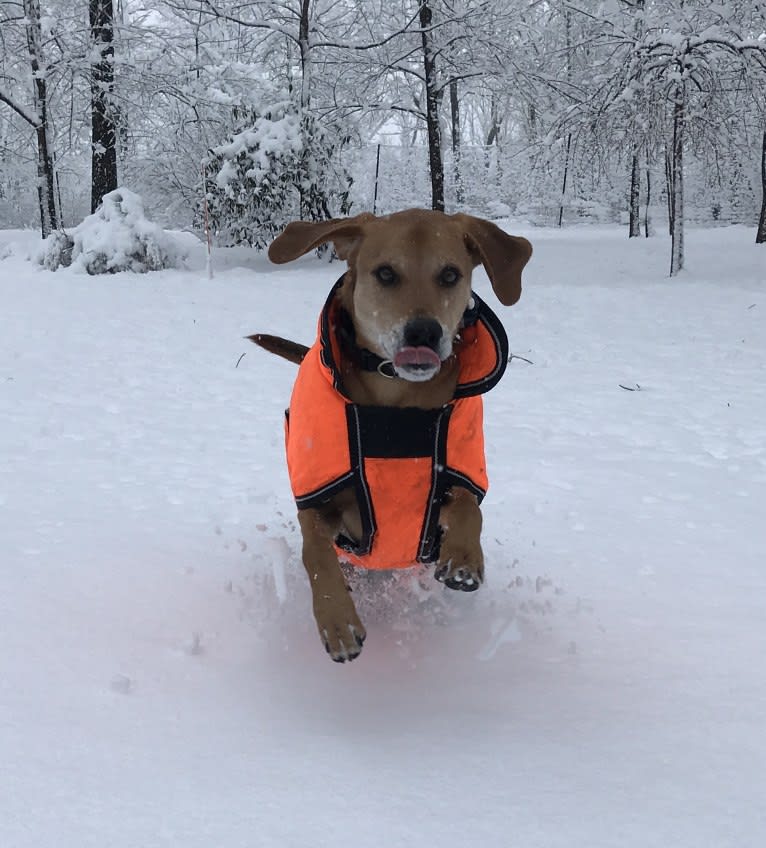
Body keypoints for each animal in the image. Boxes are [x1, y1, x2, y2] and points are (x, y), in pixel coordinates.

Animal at [252, 210, 536, 664]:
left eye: (450, 274)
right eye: (386, 273)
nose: (423, 332)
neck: (395, 404)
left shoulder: (450, 486)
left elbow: (468, 506)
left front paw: (463, 557)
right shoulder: (320, 502)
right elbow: (315, 551)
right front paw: (337, 620)